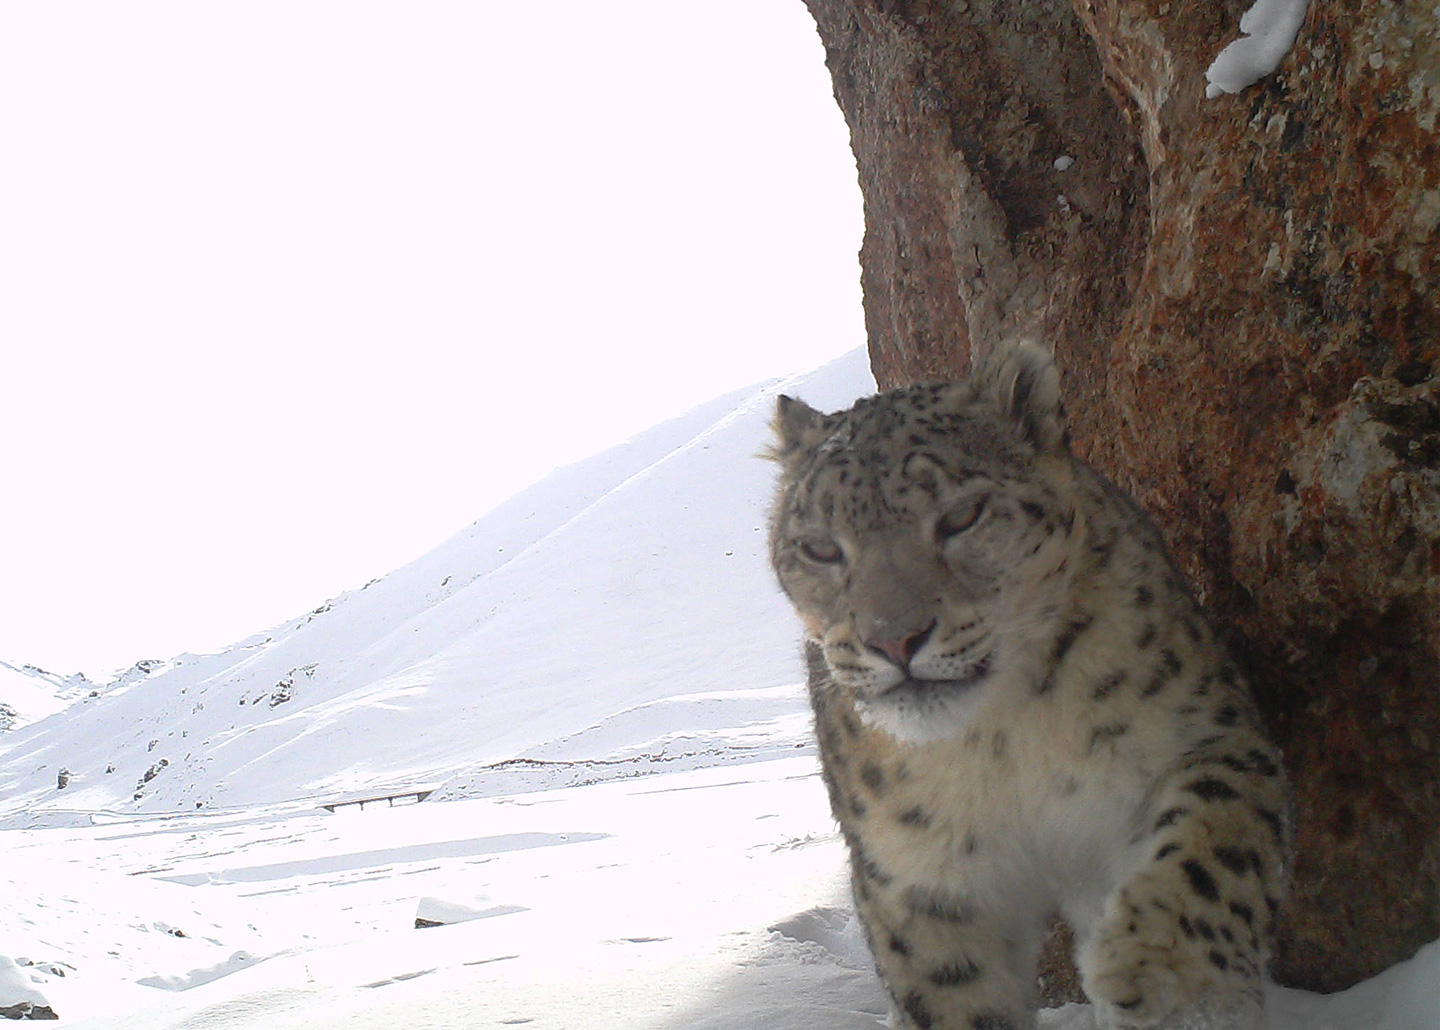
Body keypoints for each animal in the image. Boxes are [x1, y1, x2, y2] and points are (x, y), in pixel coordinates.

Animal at [766, 342, 1290, 1030]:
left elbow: (1212, 845)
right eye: (821, 548)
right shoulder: (916, 875)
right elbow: (951, 992)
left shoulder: (1204, 736)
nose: (895, 640)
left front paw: (1163, 977)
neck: (999, 742)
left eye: (963, 515)